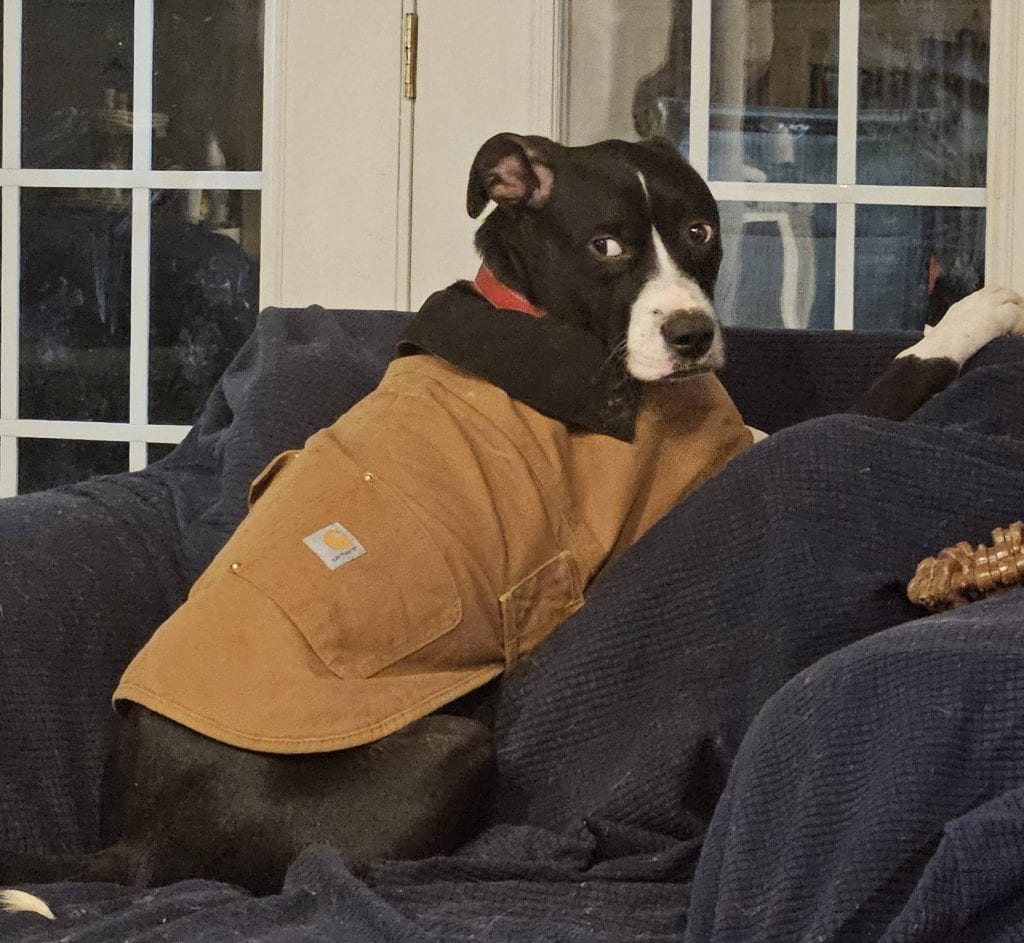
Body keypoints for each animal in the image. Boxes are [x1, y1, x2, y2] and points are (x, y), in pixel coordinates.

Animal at [3, 133, 1023, 917]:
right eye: (606, 244)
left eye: (699, 231)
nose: (691, 335)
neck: (539, 315)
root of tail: (133, 844)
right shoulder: (722, 460)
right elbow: (884, 381)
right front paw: (981, 309)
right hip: (449, 747)